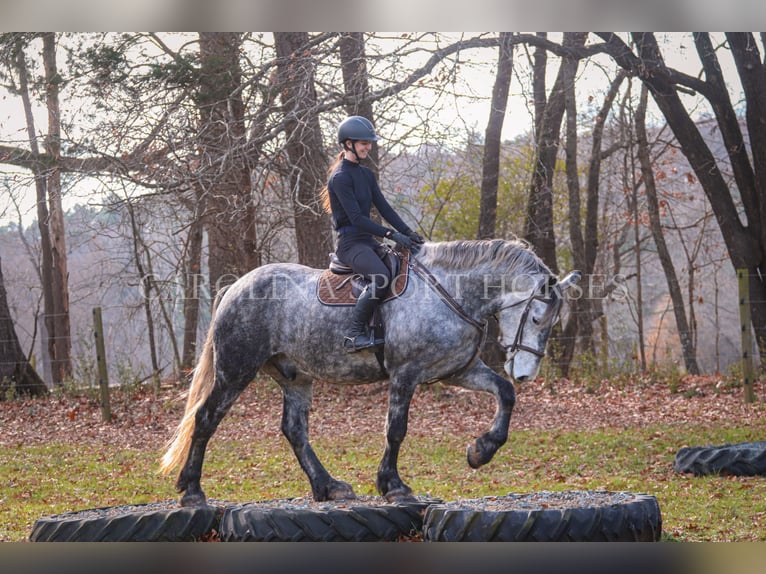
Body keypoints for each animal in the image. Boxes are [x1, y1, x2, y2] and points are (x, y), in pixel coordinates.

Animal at [164, 240, 584, 508]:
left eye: (551, 324)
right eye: (536, 318)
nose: (526, 373)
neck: (450, 291)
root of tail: (236, 287)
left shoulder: (456, 371)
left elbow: (504, 394)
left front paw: (481, 450)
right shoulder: (405, 374)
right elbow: (395, 429)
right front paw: (393, 485)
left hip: (295, 377)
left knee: (294, 430)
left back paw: (328, 487)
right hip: (236, 371)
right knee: (206, 419)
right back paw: (193, 491)